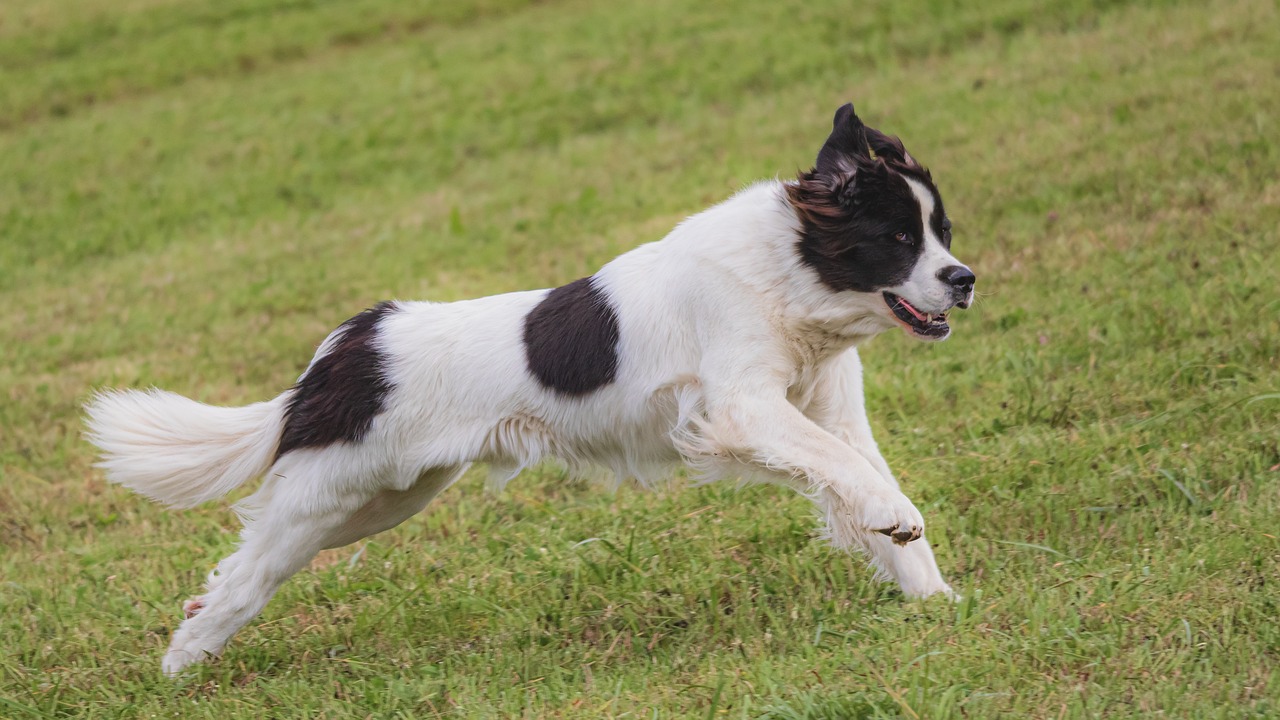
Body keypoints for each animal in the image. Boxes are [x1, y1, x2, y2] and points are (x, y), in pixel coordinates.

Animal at [85, 102, 972, 671]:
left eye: (943, 232)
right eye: (898, 238)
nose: (964, 280)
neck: (789, 268)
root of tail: (346, 348)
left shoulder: (825, 413)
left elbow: (857, 481)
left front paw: (937, 604)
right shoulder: (742, 408)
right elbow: (863, 482)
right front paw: (900, 523)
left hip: (376, 501)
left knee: (247, 560)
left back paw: (194, 628)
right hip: (326, 493)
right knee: (247, 575)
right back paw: (182, 662)